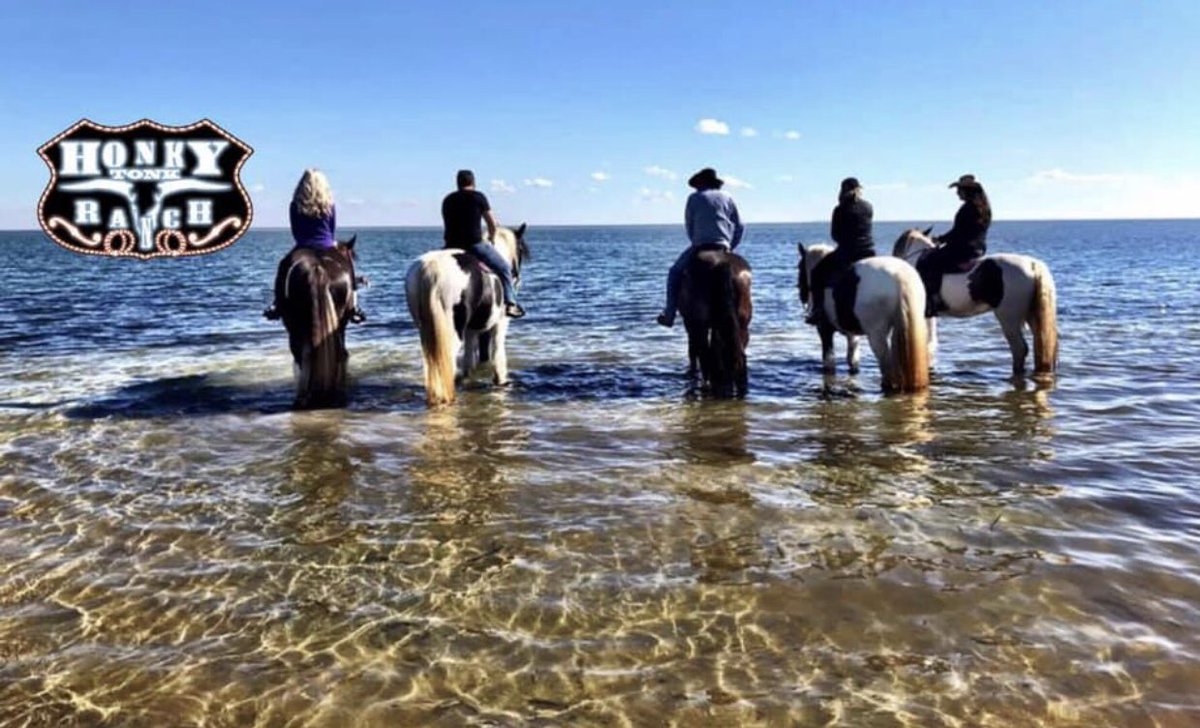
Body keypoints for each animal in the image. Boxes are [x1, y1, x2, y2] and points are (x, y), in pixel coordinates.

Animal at [405, 225, 528, 407]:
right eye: (520, 250)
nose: (517, 276)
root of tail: (431, 269)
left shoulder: (471, 330)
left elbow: (469, 361)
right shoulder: (500, 325)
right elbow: (498, 356)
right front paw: (501, 382)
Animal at [676, 249, 748, 398]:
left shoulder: (690, 325)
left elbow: (693, 351)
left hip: (699, 326)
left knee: (705, 356)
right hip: (742, 325)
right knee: (737, 358)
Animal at [801, 243, 931, 393]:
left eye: (800, 269)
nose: (803, 296)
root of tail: (898, 277)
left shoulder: (824, 330)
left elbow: (829, 363)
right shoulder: (852, 334)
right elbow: (852, 360)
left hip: (876, 335)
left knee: (887, 368)